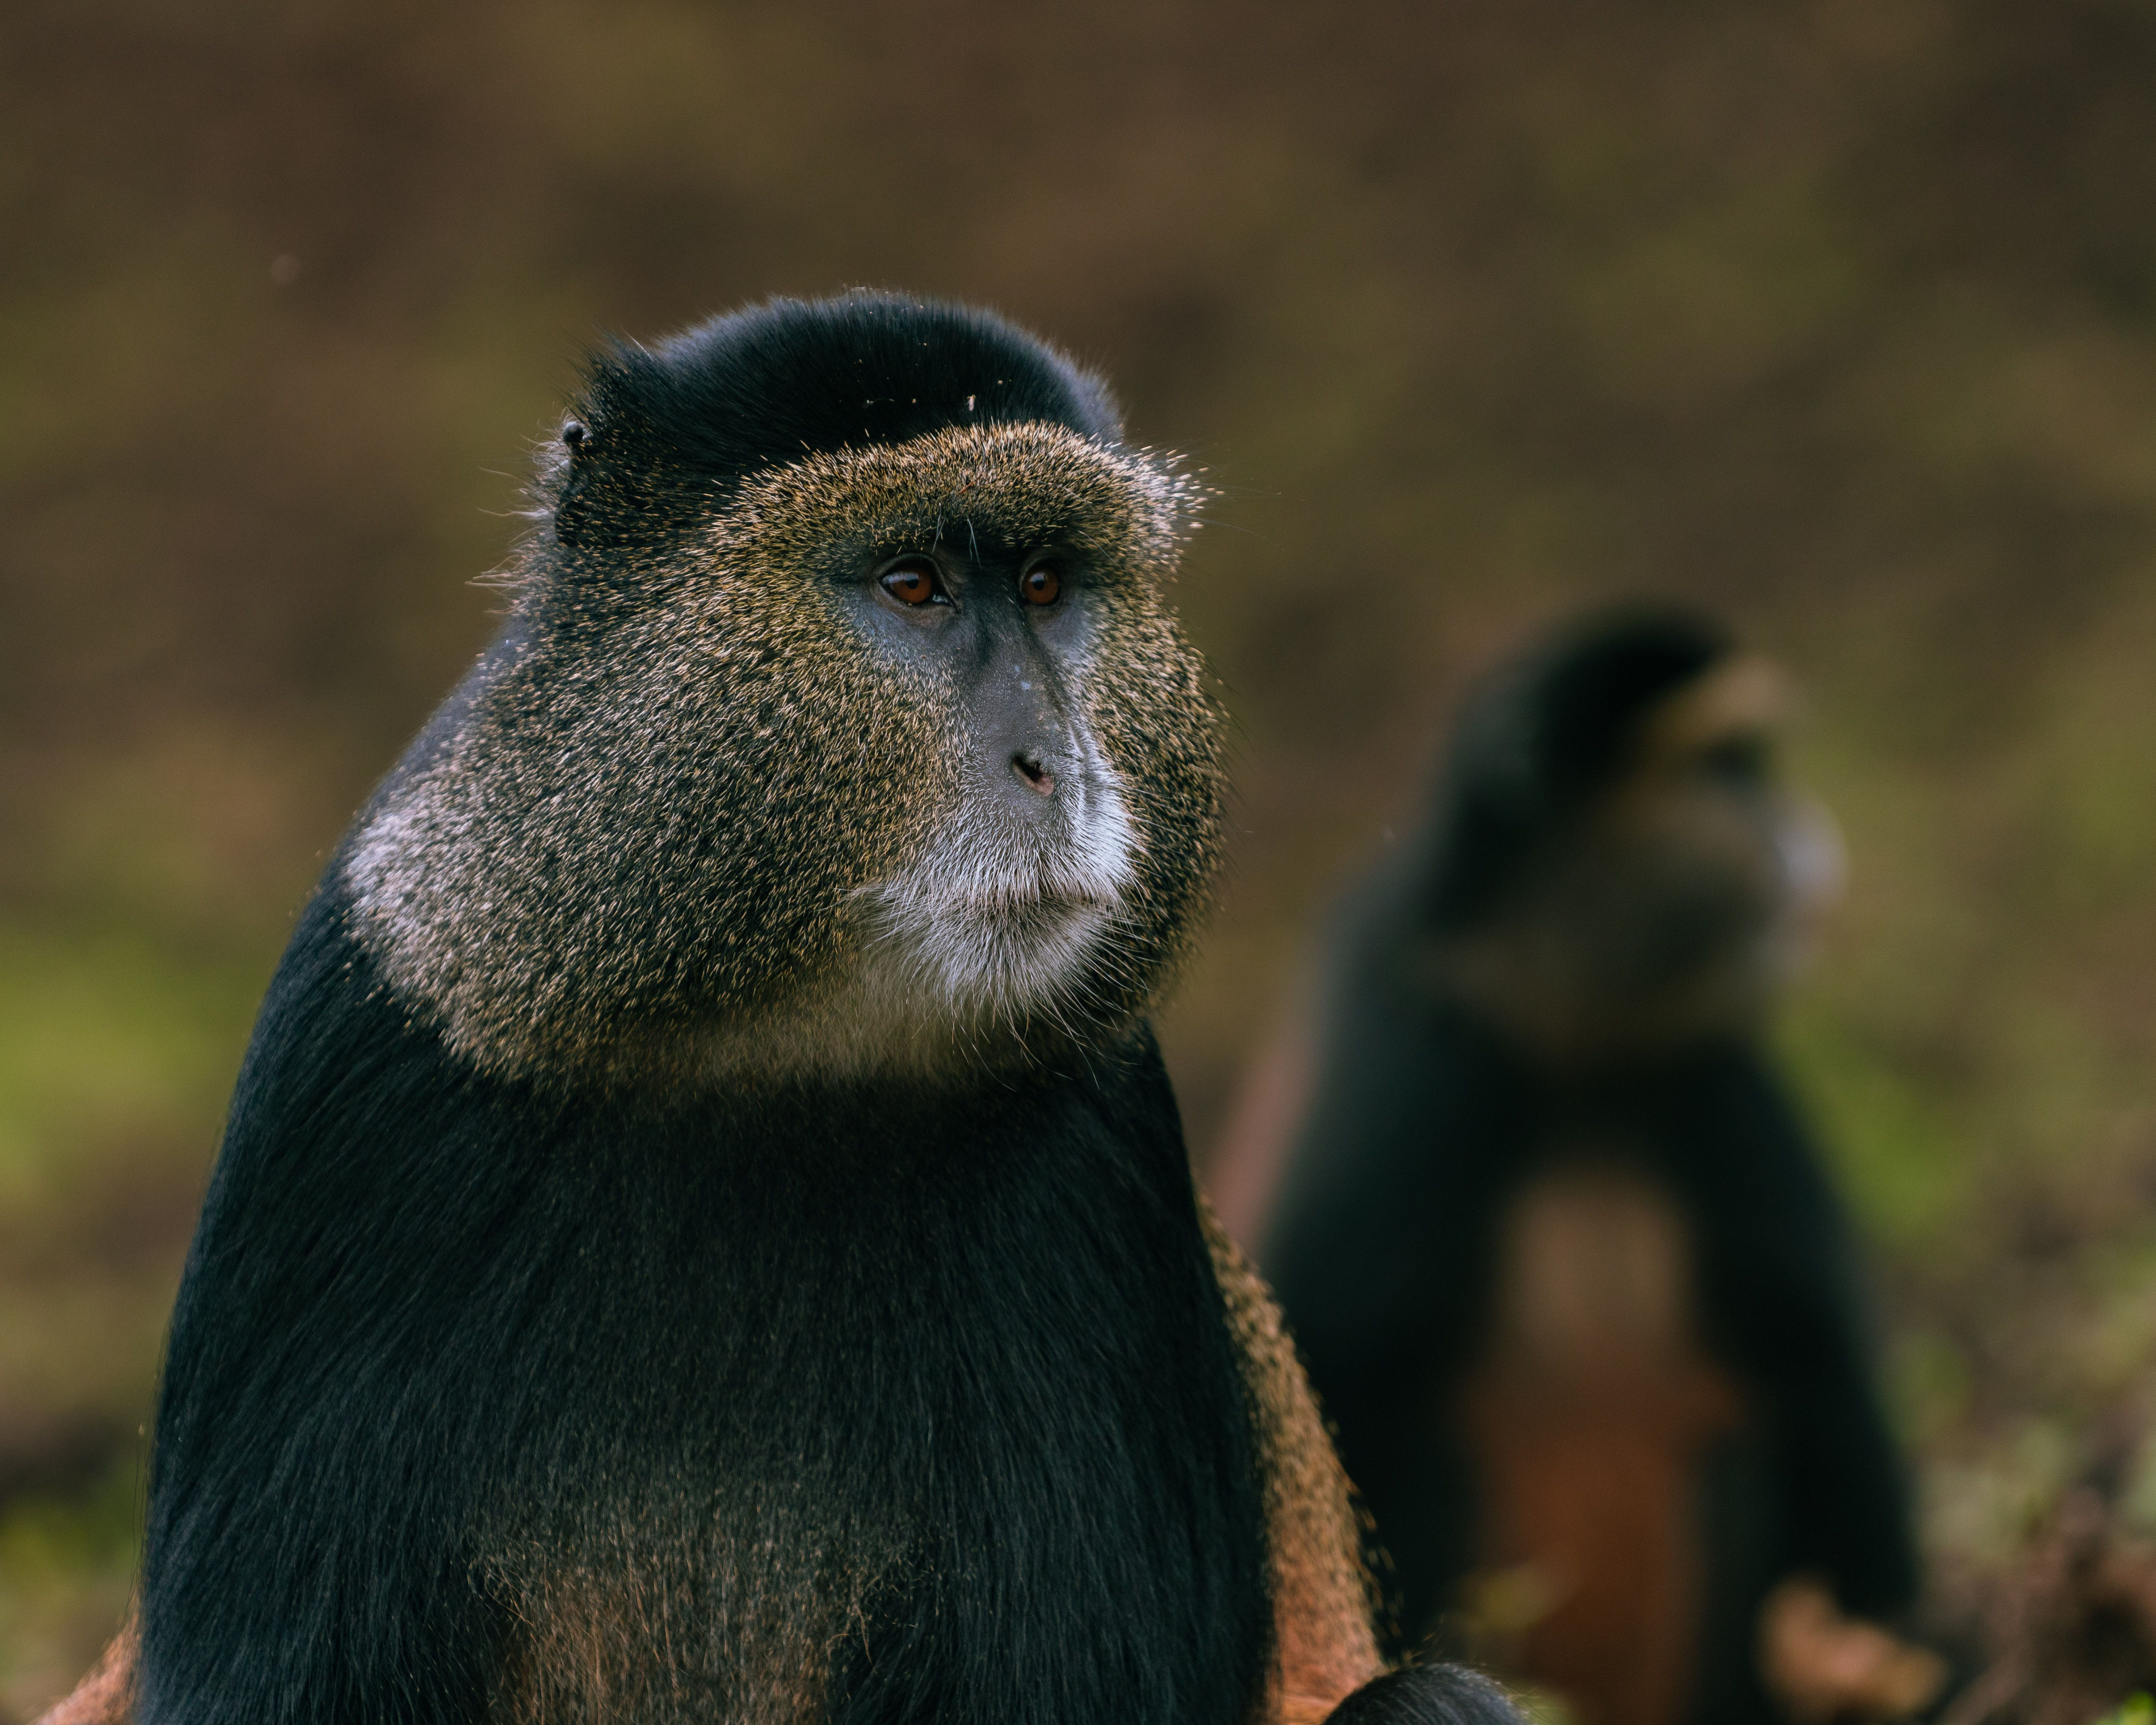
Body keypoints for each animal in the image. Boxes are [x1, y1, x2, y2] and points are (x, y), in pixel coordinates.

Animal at [35, 292, 1524, 1725]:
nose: (1061, 764)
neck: (763, 1046)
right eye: (913, 582)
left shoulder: (1107, 1140)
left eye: (1047, 583)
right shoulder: (357, 1064)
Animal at [1216, 607, 1936, 1725]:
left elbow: (1817, 1372)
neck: (1570, 1049)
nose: (1796, 830)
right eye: (1725, 768)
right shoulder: (1418, 1058)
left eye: (1754, 765)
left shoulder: (1714, 1078)